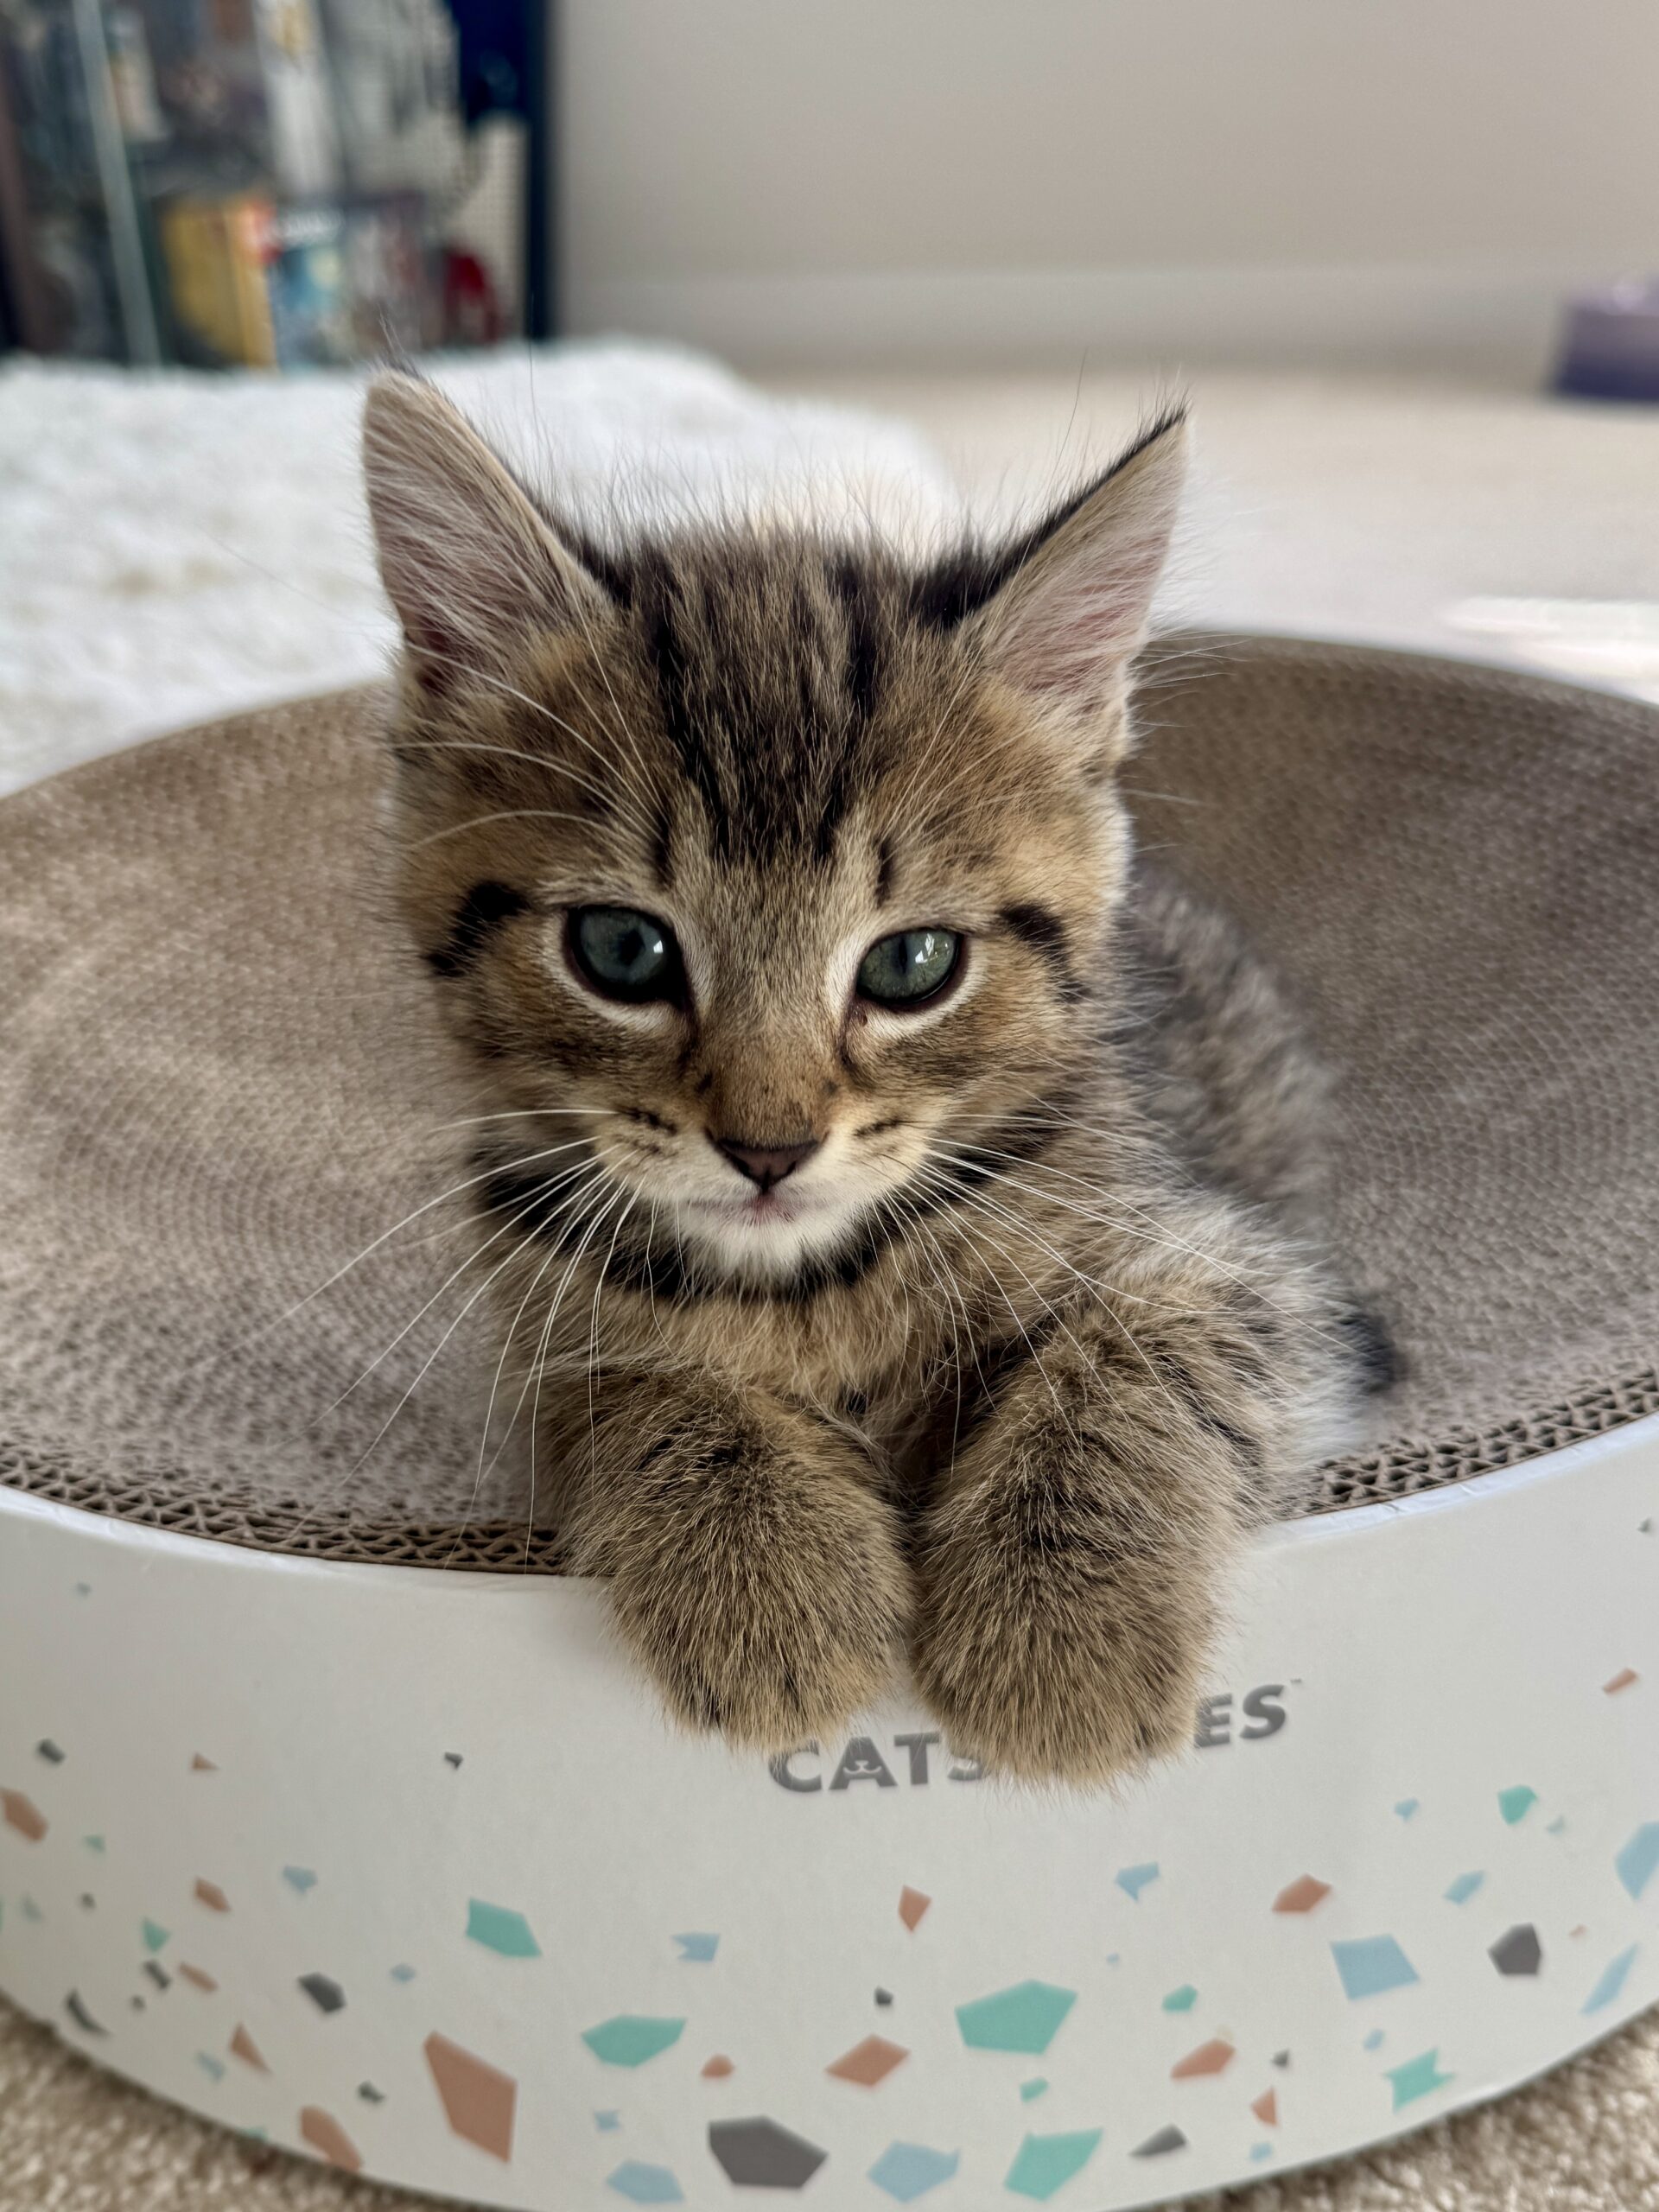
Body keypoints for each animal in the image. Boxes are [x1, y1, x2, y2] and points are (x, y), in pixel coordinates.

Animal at [361, 371, 1383, 1786]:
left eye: (911, 964)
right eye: (621, 950)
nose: (769, 1148)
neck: (809, 1288)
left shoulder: (1247, 1264)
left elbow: (1154, 1350)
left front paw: (1062, 1630)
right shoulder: (532, 1336)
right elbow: (636, 1382)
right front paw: (774, 1581)